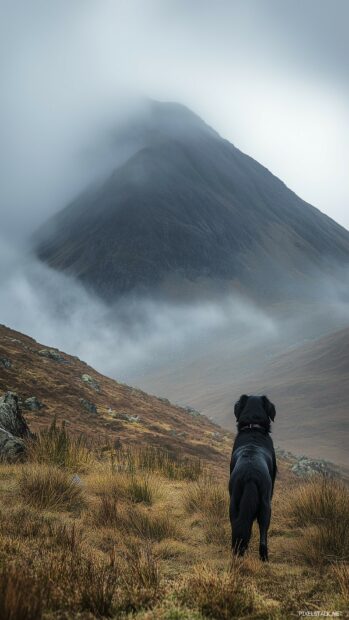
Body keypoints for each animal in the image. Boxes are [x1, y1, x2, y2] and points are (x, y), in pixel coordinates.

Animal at [227, 398, 276, 560]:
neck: (252, 428)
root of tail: (250, 475)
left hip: (234, 502)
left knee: (238, 526)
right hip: (266, 506)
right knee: (263, 533)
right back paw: (264, 557)